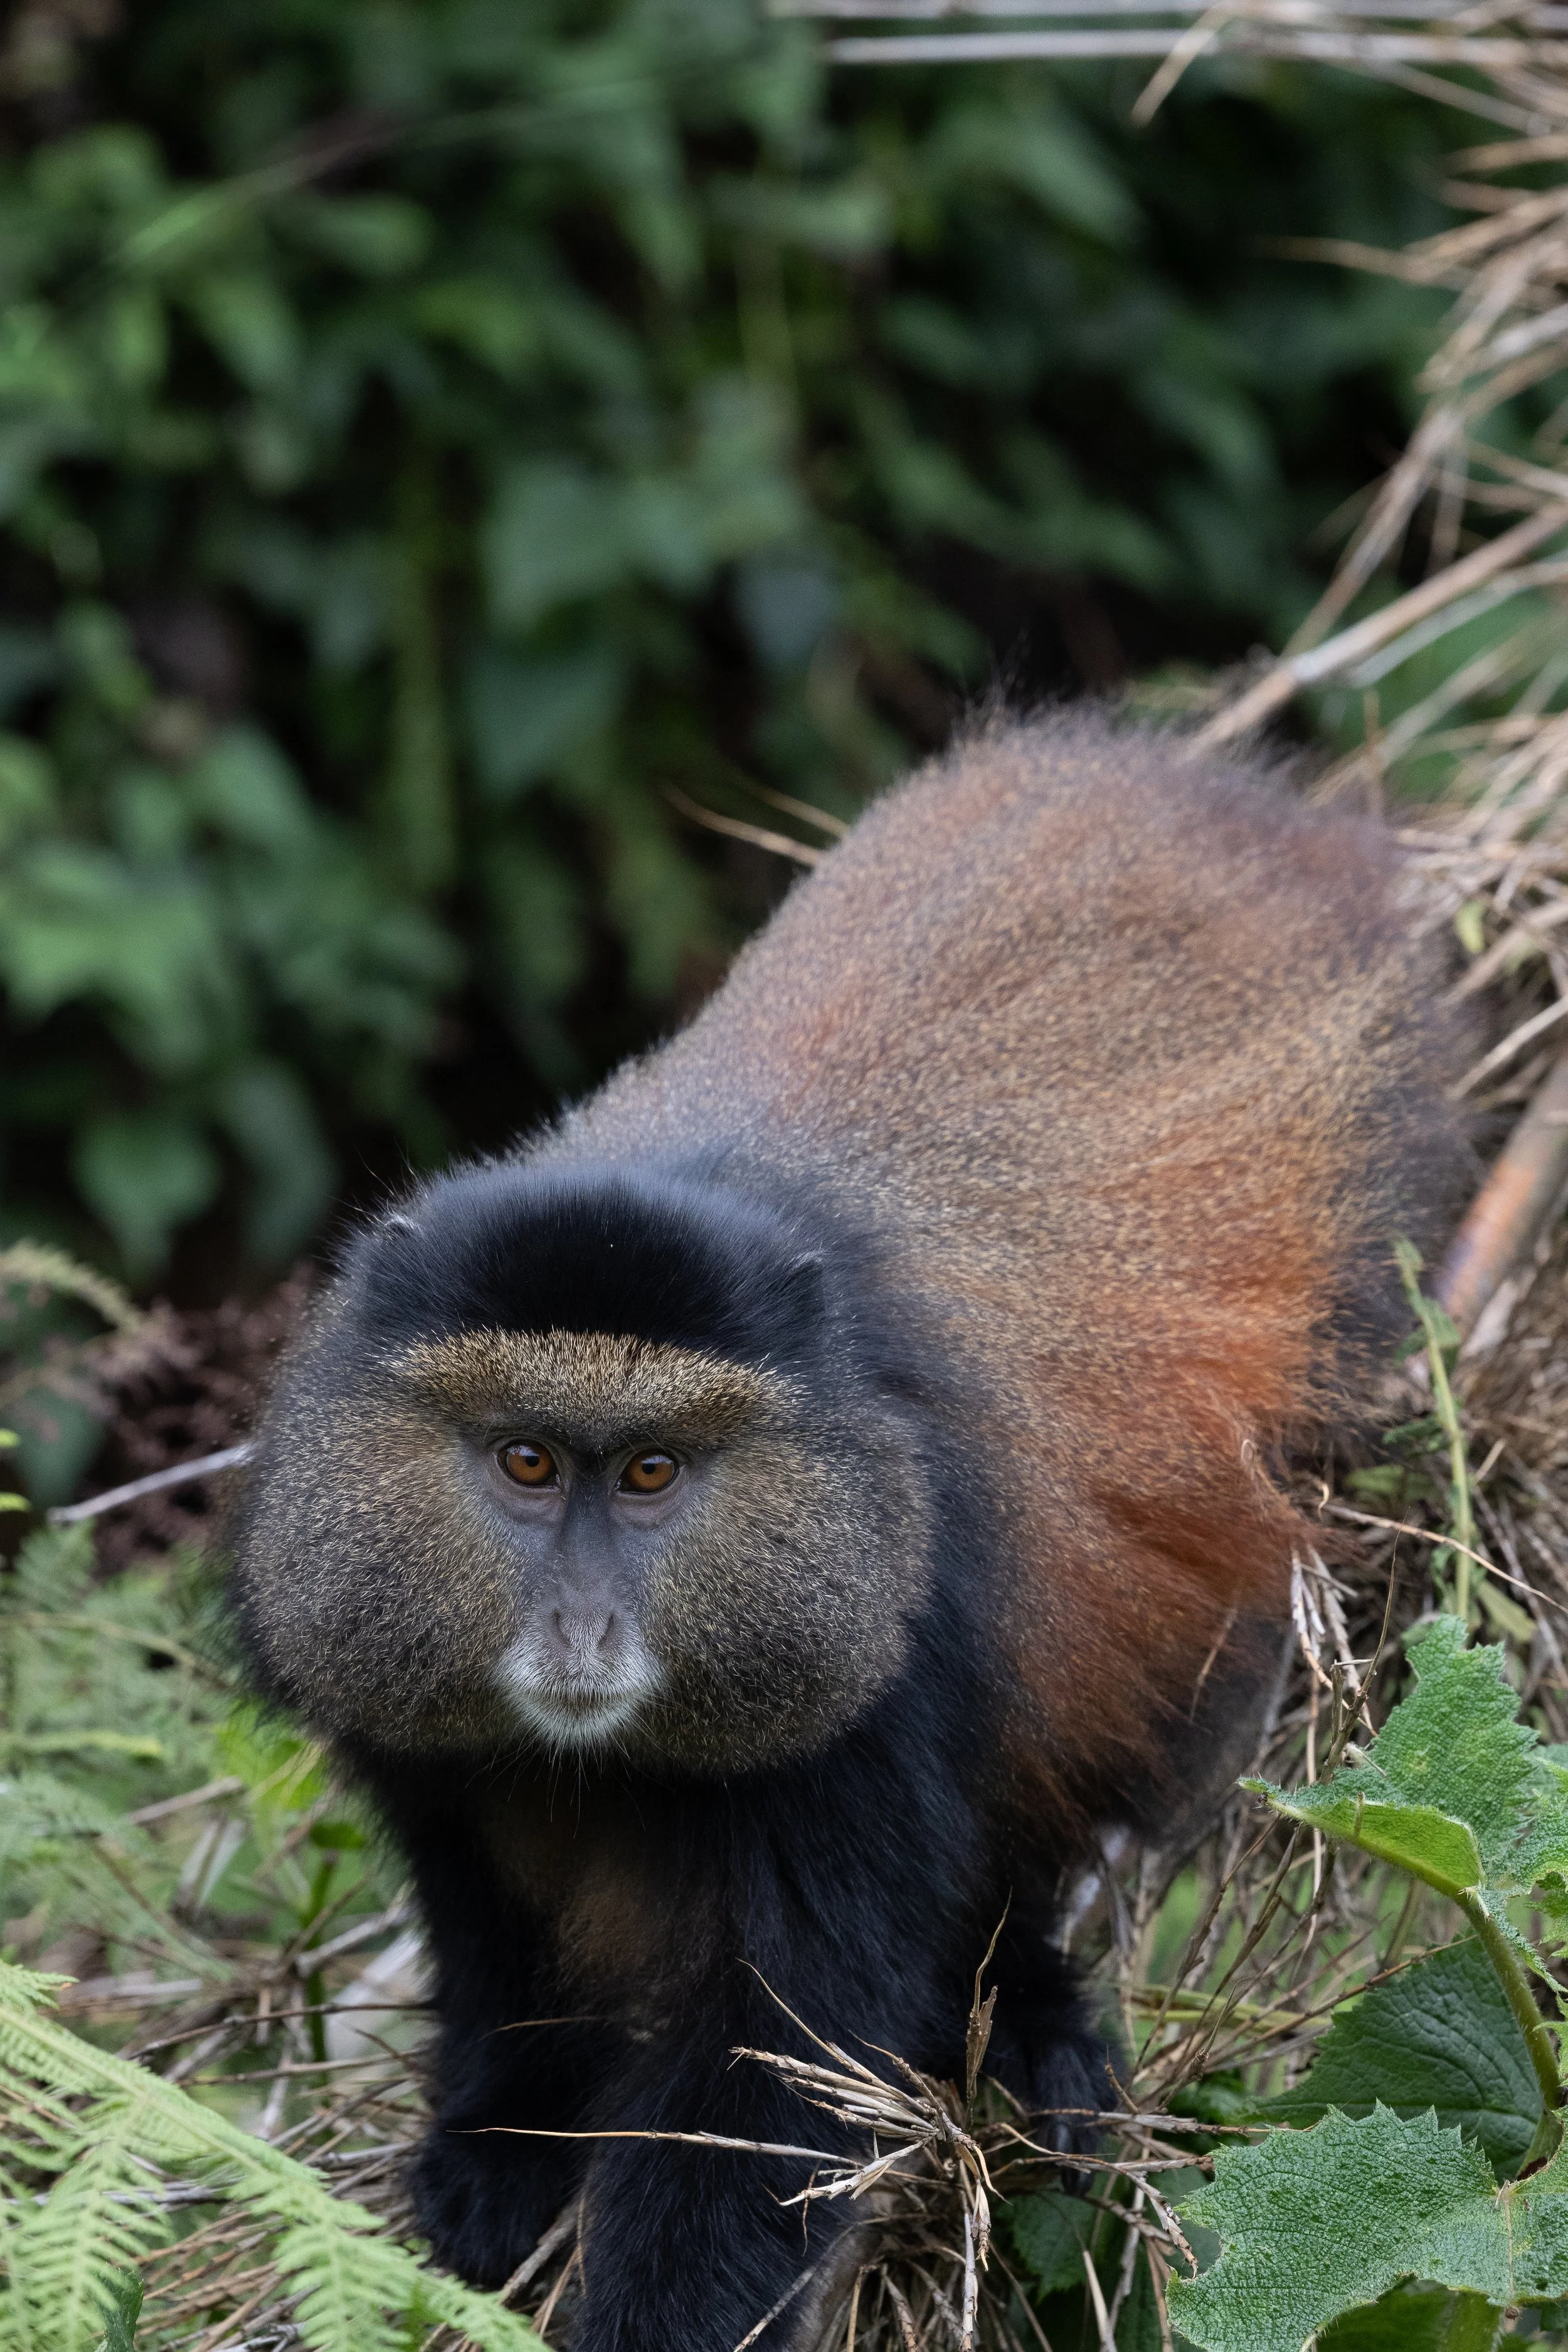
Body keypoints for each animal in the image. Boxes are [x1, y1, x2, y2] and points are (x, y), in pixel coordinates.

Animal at [230, 710, 1473, 2352]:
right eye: (525, 1460)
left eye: (651, 1474)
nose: (578, 1622)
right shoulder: (407, 1719)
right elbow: (496, 1947)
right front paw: (491, 2152)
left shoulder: (884, 1685)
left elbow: (771, 2071)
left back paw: (1032, 2011)